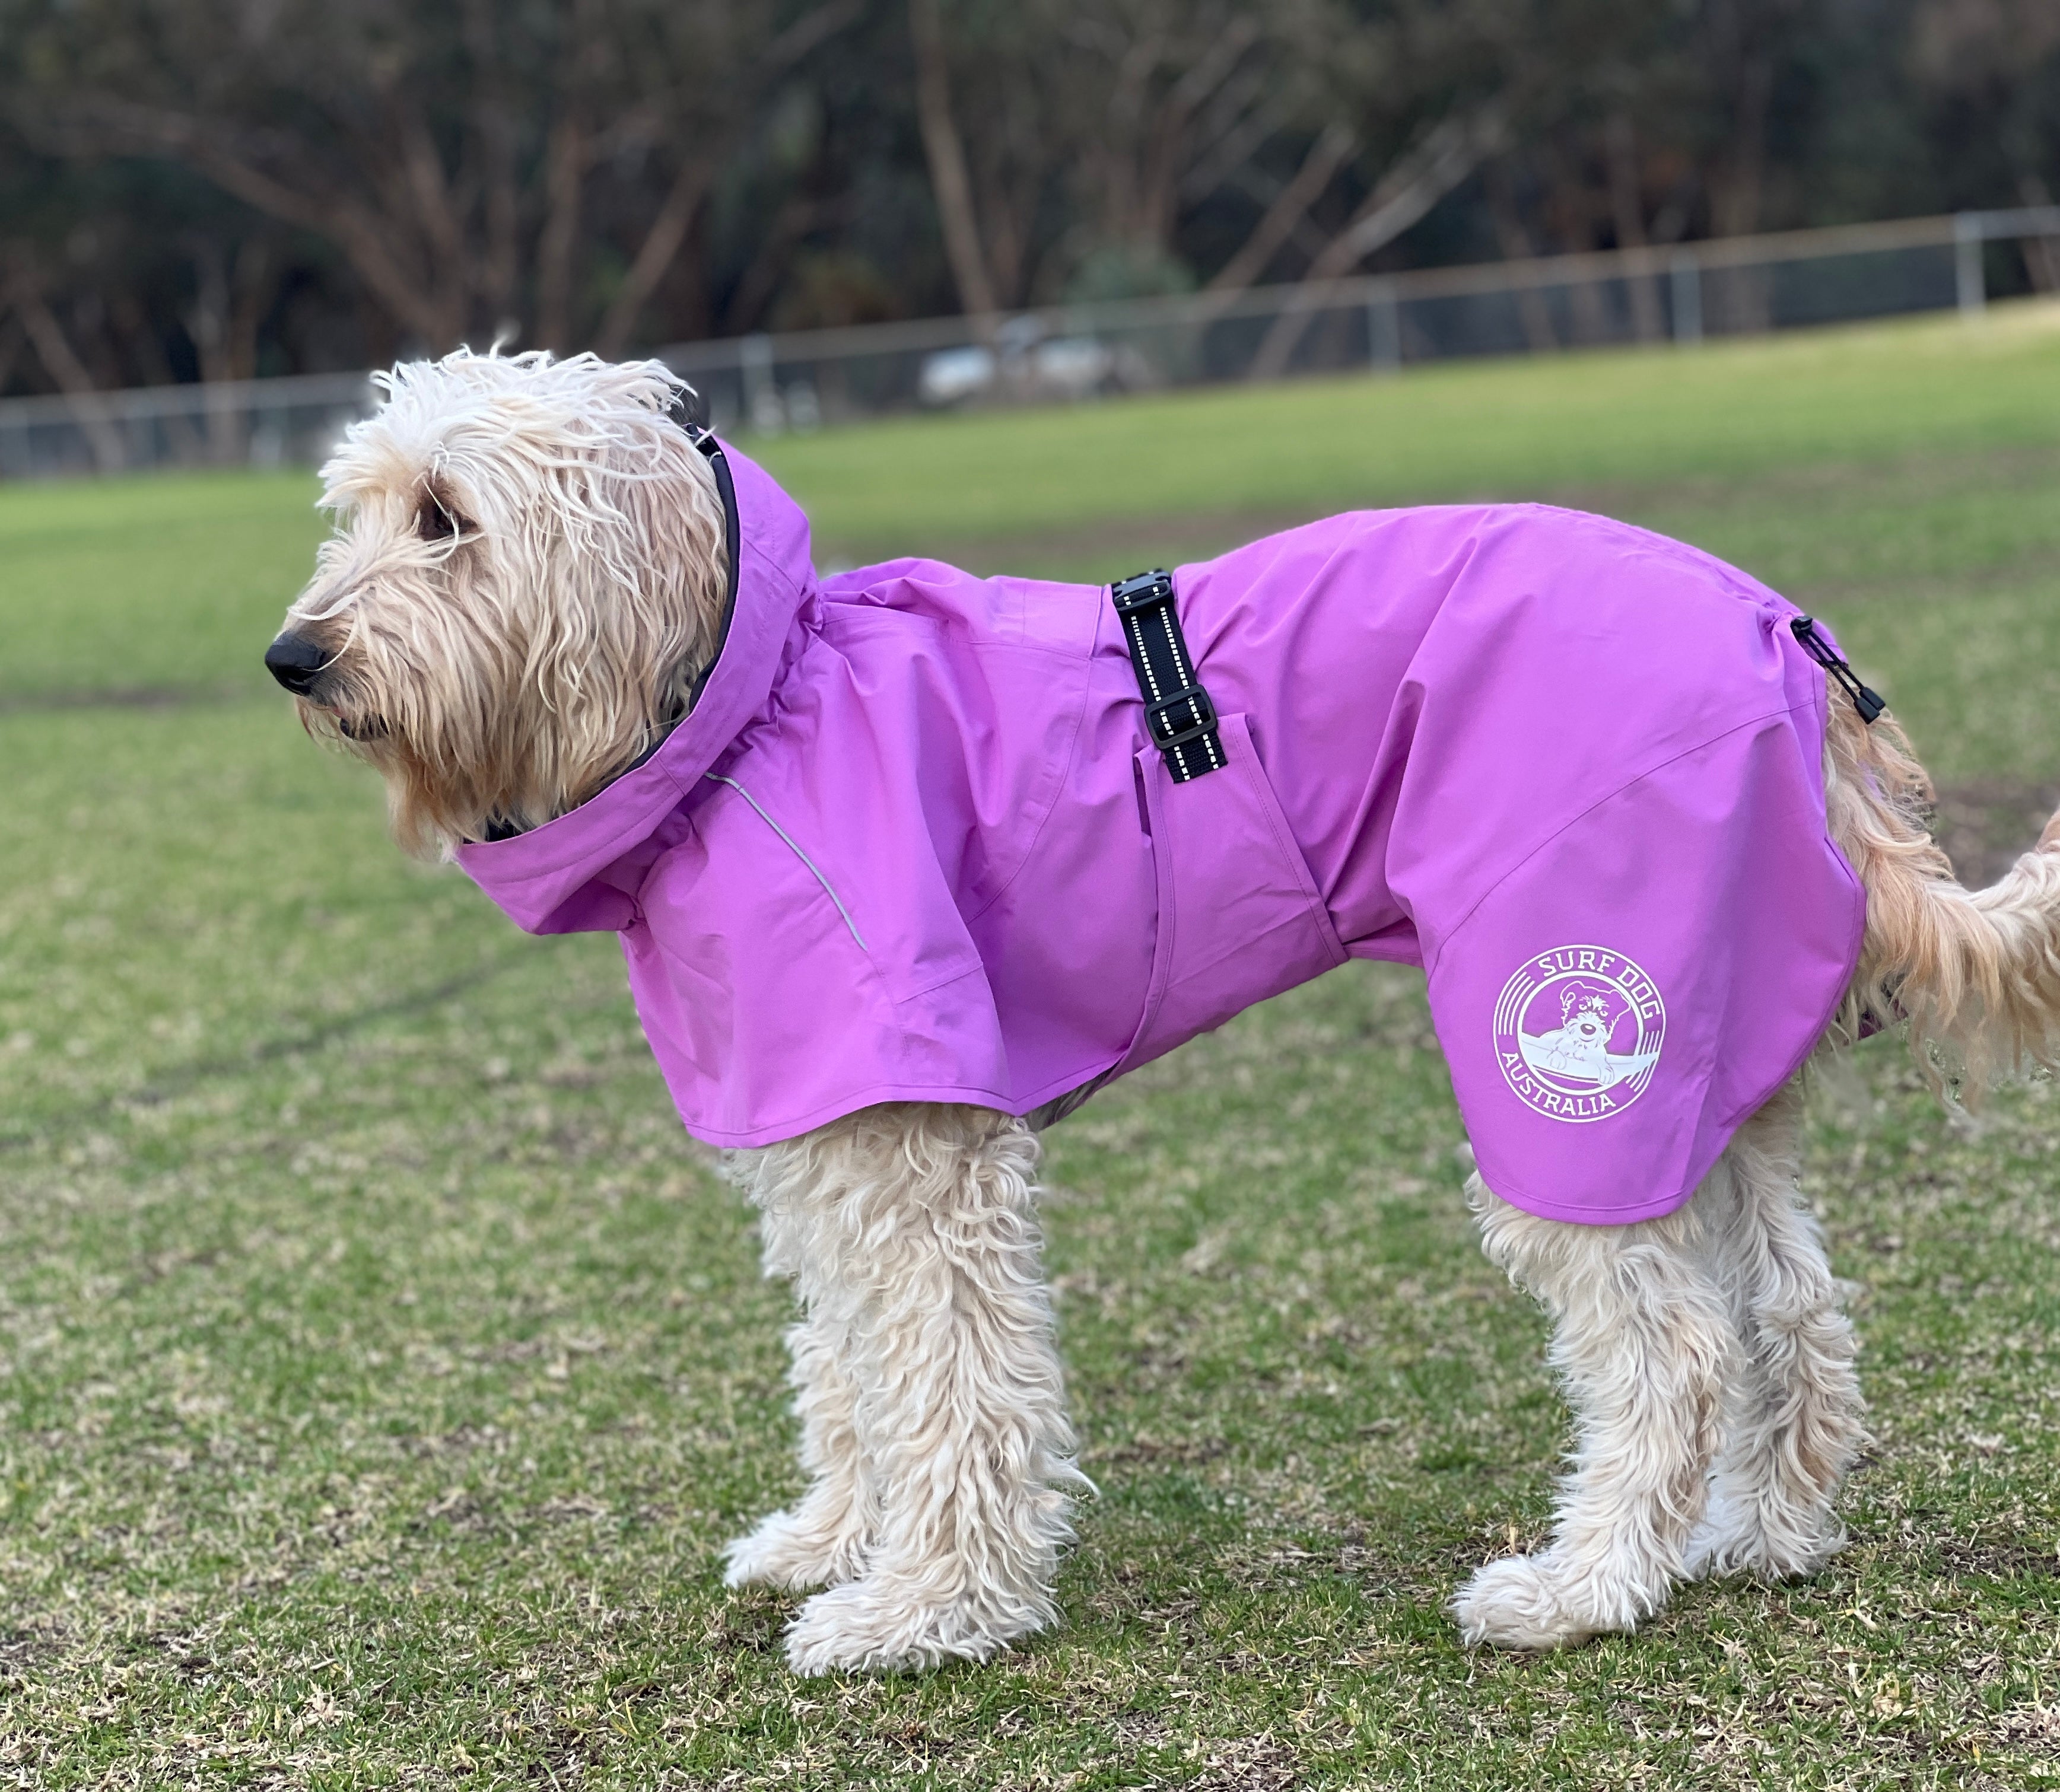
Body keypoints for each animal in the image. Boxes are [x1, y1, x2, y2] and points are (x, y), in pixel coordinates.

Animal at [265, 343, 2060, 1680]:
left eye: (446, 516)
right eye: (357, 510)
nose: (293, 654)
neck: (746, 702)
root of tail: (1782, 629)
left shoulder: (912, 1145)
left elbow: (948, 1375)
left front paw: (931, 1608)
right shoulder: (822, 1129)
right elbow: (850, 1361)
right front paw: (835, 1540)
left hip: (1569, 1049)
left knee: (1673, 1348)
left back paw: (1588, 1583)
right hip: (1707, 1067)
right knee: (1793, 1311)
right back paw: (1763, 1533)